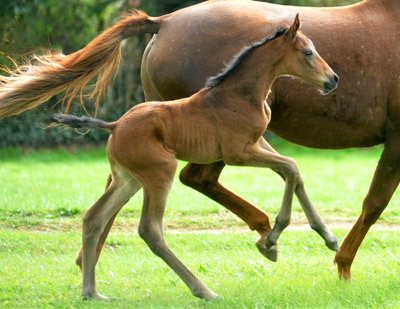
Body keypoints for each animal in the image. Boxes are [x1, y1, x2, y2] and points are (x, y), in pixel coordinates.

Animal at [53, 15, 340, 300]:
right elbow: (291, 167)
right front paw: (271, 238)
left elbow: (293, 172)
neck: (240, 95)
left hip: (127, 179)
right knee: (150, 230)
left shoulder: (256, 143)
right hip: (160, 173)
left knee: (93, 218)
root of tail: (114, 125)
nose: (333, 79)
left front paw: (325, 238)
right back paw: (204, 290)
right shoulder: (238, 153)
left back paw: (91, 292)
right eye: (308, 52)